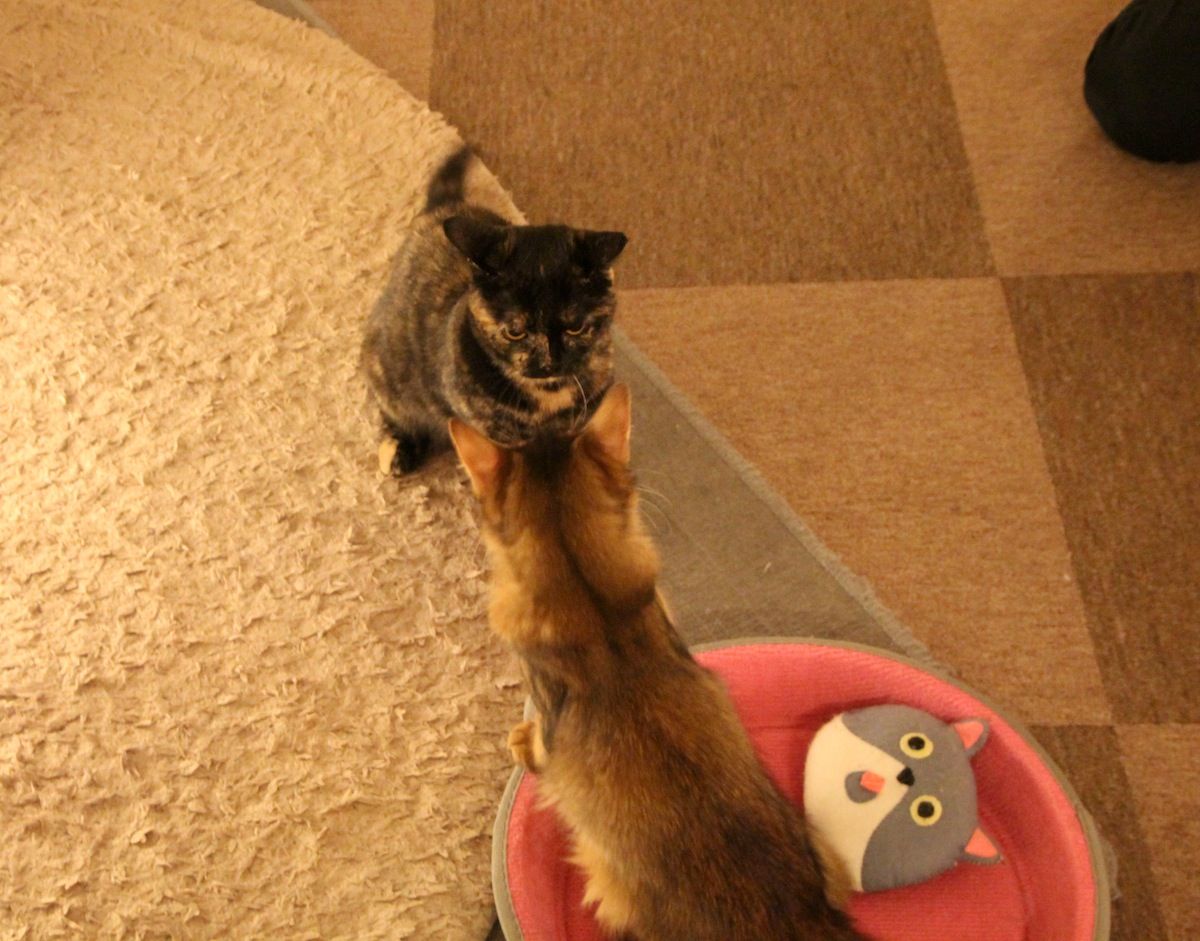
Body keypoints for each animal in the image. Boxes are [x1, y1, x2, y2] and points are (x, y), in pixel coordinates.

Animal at [361, 146, 627, 475]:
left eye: (575, 327)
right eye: (515, 331)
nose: (548, 363)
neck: (548, 396)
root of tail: (443, 207)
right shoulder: (495, 434)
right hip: (387, 369)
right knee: (394, 409)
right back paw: (398, 452)